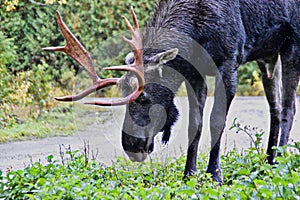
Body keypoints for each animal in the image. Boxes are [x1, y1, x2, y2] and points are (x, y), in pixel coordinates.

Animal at [44, 0, 300, 183]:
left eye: (143, 96)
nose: (131, 146)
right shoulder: (194, 73)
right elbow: (194, 123)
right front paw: (189, 174)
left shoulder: (229, 62)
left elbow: (216, 120)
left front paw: (214, 175)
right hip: (268, 54)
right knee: (275, 108)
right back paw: (268, 160)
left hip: (292, 44)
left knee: (289, 107)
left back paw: (281, 160)